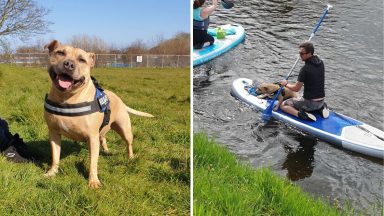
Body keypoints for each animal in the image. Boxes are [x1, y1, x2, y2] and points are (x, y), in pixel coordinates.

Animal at [43, 40, 153, 187]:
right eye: (60, 53)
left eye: (82, 60)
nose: (69, 64)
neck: (67, 98)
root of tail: (119, 99)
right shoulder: (54, 133)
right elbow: (55, 156)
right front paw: (52, 172)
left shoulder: (92, 137)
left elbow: (93, 162)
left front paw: (93, 181)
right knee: (103, 137)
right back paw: (106, 150)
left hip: (125, 129)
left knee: (128, 143)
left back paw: (131, 157)